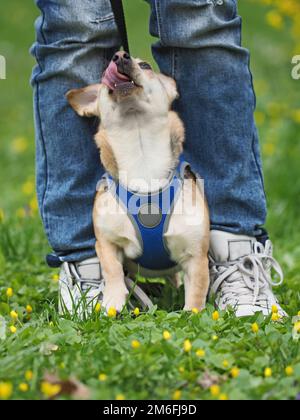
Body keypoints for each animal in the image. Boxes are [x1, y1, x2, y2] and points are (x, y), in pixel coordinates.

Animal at [67, 50, 210, 312]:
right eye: (104, 72)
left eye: (145, 65)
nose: (120, 56)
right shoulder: (107, 243)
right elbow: (112, 270)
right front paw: (113, 301)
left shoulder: (195, 255)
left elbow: (196, 291)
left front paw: (192, 315)